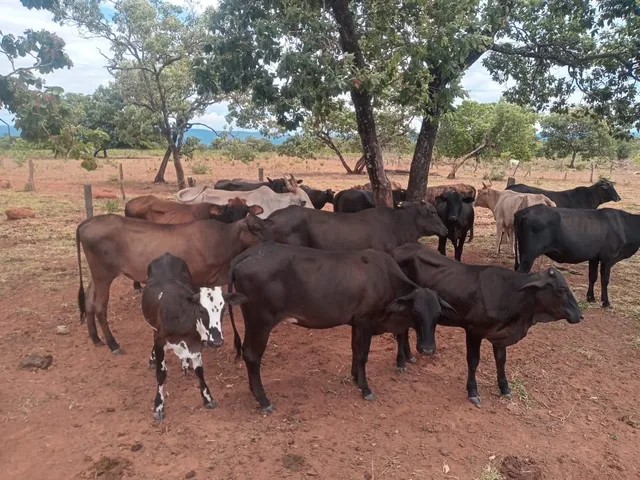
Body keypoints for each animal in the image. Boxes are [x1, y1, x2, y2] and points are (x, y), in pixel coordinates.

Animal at [76, 213, 267, 354]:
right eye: (257, 229)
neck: (222, 240)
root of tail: (89, 221)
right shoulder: (197, 279)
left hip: (96, 276)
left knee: (89, 300)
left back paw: (95, 337)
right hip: (103, 275)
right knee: (99, 306)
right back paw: (113, 344)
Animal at [142, 253, 244, 420]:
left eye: (223, 310)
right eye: (202, 310)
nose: (216, 341)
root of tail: (166, 255)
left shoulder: (196, 343)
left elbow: (200, 370)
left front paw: (207, 398)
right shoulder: (160, 340)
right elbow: (161, 374)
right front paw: (158, 406)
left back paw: (185, 363)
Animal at [226, 242, 453, 412]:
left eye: (437, 314)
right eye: (415, 311)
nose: (427, 349)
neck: (386, 279)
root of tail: (249, 253)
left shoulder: (355, 322)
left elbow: (354, 350)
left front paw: (355, 377)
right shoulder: (365, 321)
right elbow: (362, 355)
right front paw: (365, 388)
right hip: (260, 321)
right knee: (252, 355)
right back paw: (263, 400)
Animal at [391, 243, 582, 405]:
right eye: (561, 289)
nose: (579, 315)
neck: (508, 293)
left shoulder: (500, 334)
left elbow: (501, 360)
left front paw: (504, 388)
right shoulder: (473, 331)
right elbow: (473, 361)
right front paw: (473, 392)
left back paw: (409, 356)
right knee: (401, 332)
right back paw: (401, 362)